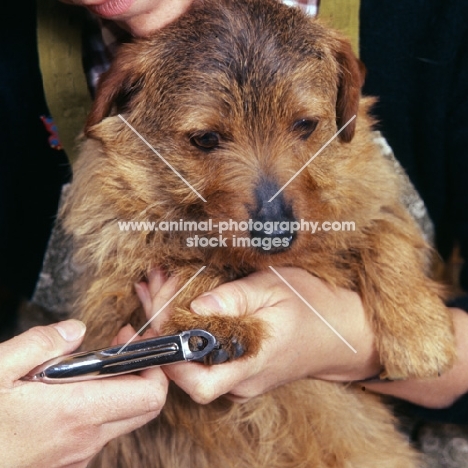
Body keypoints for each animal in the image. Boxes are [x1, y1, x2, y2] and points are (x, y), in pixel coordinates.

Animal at [61, 0, 454, 464]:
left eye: (305, 125)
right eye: (205, 138)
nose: (275, 233)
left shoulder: (362, 198)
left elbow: (382, 230)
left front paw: (420, 335)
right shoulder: (117, 292)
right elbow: (180, 261)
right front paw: (217, 319)